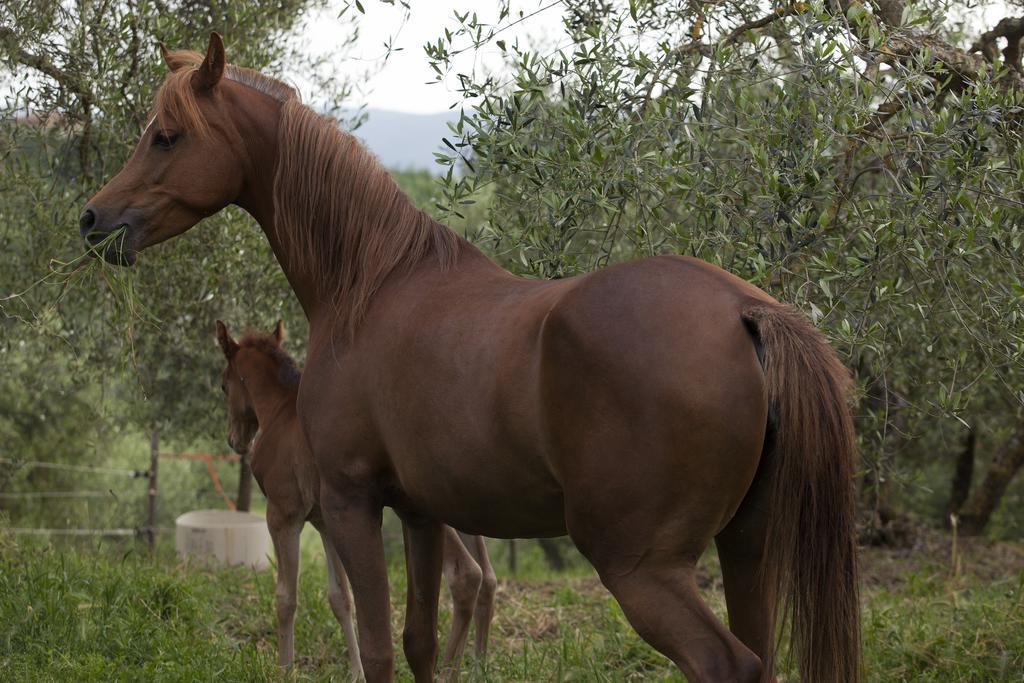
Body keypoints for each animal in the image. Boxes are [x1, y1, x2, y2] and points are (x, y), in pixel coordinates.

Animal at [216, 321, 495, 679]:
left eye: (224, 386)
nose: (235, 440)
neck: (280, 415)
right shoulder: (326, 522)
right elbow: (341, 598)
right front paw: (356, 673)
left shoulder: (283, 514)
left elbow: (286, 598)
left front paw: (284, 671)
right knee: (487, 577)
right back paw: (476, 668)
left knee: (467, 575)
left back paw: (449, 671)